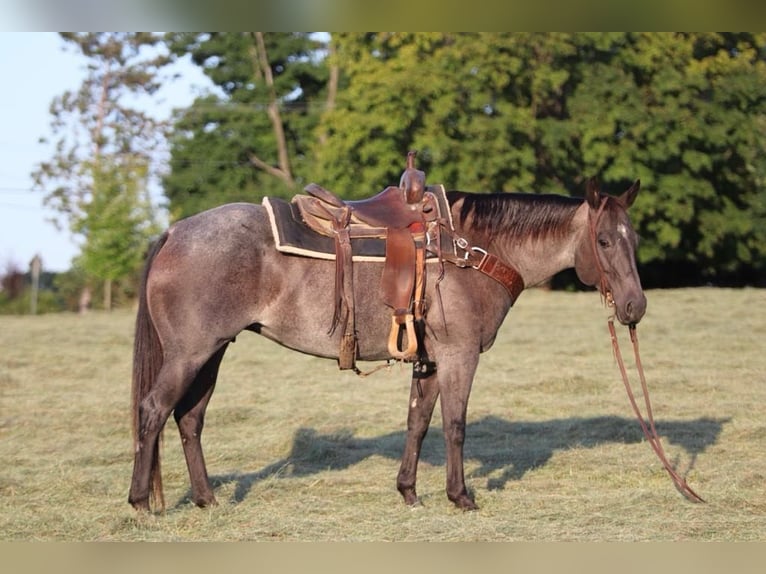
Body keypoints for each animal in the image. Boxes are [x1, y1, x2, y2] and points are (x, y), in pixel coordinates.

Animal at [128, 178, 645, 512]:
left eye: (634, 238)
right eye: (603, 240)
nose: (635, 306)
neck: (472, 250)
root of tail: (174, 231)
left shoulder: (430, 360)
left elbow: (418, 423)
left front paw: (409, 492)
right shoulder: (459, 355)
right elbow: (455, 425)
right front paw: (461, 497)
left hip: (212, 352)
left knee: (189, 419)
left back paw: (207, 499)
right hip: (190, 354)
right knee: (153, 410)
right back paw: (140, 501)